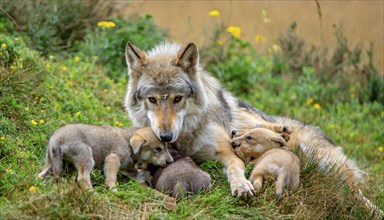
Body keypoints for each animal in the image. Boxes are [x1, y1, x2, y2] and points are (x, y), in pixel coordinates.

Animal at [125, 41, 366, 198]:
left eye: (177, 98)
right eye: (152, 100)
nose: (166, 136)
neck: (185, 137)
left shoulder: (228, 152)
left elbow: (234, 168)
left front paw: (241, 185)